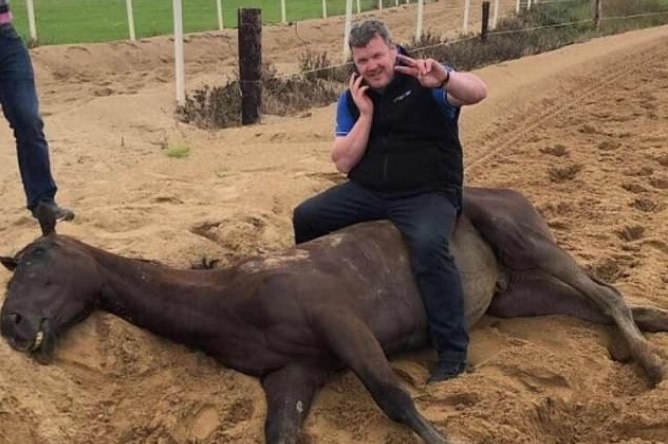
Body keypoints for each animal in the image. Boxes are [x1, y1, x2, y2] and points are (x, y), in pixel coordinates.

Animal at [3, 187, 668, 444]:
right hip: (514, 292)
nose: (11, 325)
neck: (230, 298)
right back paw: (649, 331)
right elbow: (281, 431)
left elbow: (396, 400)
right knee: (599, 300)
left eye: (38, 260)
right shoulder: (293, 374)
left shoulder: (343, 325)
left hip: (524, 239)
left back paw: (651, 364)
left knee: (604, 293)